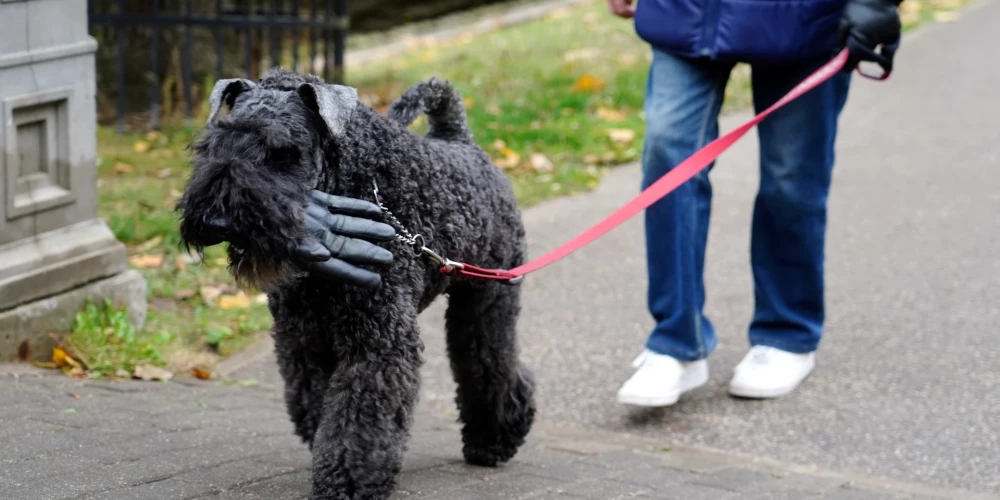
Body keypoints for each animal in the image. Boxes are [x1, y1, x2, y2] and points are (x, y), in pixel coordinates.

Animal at [180, 69, 540, 496]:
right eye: (214, 144)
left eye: (283, 152)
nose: (218, 219)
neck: (357, 182)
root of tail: (460, 142)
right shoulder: (305, 338)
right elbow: (317, 397)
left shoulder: (378, 338)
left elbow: (360, 412)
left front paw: (349, 478)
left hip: (487, 298)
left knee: (488, 361)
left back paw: (493, 440)